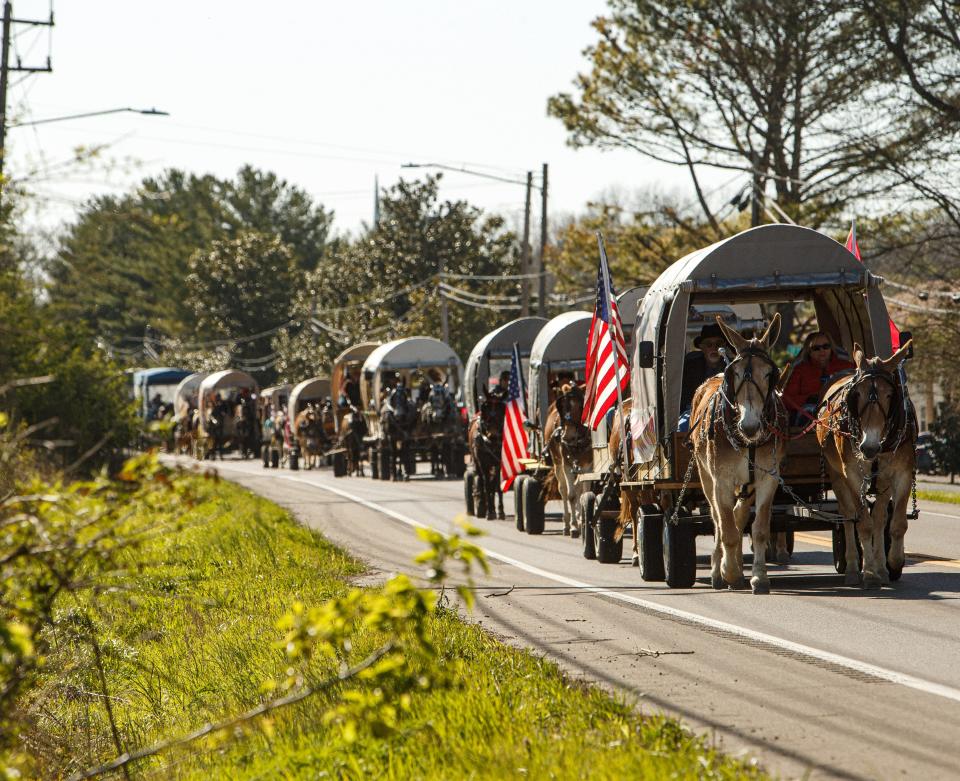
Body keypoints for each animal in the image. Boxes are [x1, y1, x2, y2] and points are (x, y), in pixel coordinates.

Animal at [466, 388, 506, 520]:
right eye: (485, 407)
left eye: (502, 408)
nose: (492, 434)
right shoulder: (483, 463)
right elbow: (487, 485)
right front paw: (489, 512)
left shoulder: (498, 463)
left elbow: (497, 485)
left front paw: (500, 511)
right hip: (477, 462)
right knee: (481, 480)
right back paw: (482, 505)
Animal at [540, 382, 592, 536]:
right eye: (563, 406)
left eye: (581, 406)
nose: (566, 436)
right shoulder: (566, 465)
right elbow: (571, 495)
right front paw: (574, 526)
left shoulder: (588, 466)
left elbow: (583, 493)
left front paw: (582, 521)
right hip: (557, 463)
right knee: (563, 489)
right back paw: (567, 524)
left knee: (578, 487)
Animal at [692, 312, 784, 592]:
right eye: (734, 373)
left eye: (770, 373)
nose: (750, 426)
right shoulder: (720, 480)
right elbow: (727, 531)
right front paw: (728, 572)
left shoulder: (768, 478)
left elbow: (759, 528)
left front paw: (759, 577)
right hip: (705, 476)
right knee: (718, 520)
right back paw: (718, 570)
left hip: (746, 484)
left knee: (739, 515)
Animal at [816, 338, 916, 588]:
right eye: (857, 394)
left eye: (890, 395)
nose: (868, 448)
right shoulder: (852, 474)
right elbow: (863, 523)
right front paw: (868, 572)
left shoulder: (902, 473)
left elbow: (896, 523)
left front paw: (893, 562)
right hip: (836, 475)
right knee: (848, 516)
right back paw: (853, 568)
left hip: (882, 482)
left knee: (880, 517)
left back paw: (881, 567)